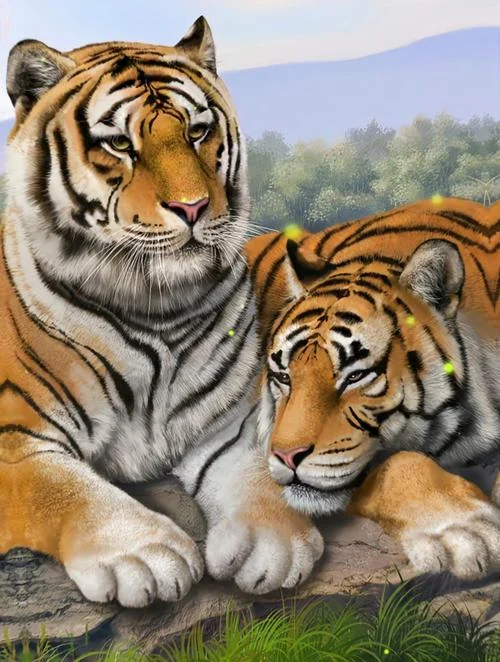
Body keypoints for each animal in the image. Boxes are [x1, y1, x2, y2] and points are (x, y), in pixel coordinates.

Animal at [0, 17, 324, 608]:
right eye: (119, 144)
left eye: (197, 132)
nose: (193, 207)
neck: (157, 309)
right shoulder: (18, 440)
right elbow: (63, 488)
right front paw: (144, 554)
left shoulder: (232, 419)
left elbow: (257, 469)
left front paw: (273, 543)